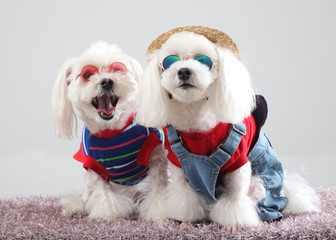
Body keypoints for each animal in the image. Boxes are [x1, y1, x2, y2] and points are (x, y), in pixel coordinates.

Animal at [52, 41, 168, 219]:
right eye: (87, 74)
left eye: (118, 69)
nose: (106, 81)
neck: (112, 132)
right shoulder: (94, 166)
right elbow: (103, 194)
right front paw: (107, 214)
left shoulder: (156, 155)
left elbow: (159, 189)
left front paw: (160, 214)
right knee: (86, 196)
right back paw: (76, 207)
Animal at [136, 26, 320, 227]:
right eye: (170, 61)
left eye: (203, 60)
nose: (184, 71)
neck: (196, 121)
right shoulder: (178, 164)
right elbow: (183, 196)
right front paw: (185, 220)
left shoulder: (238, 162)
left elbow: (235, 197)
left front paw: (234, 223)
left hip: (260, 183)